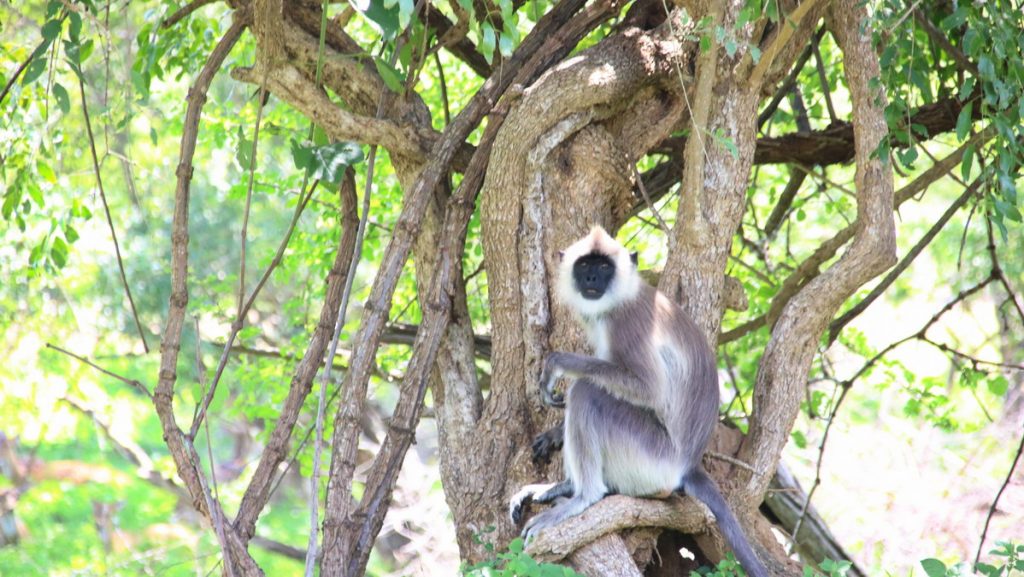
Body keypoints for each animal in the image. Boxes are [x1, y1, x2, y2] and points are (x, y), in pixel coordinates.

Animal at [512, 228, 770, 577]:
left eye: (604, 267)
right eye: (585, 265)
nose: (592, 278)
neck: (623, 297)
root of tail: (688, 464)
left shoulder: (627, 323)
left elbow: (648, 390)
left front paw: (558, 363)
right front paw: (553, 435)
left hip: (651, 458)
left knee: (587, 392)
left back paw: (583, 496)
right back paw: (562, 486)